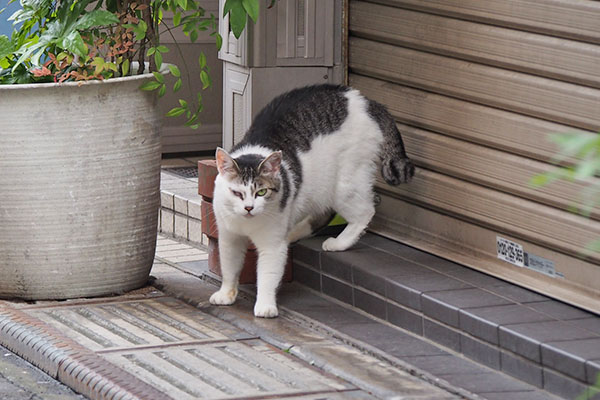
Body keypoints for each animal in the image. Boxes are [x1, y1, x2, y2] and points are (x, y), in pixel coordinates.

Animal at [207, 84, 412, 318]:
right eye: (237, 193)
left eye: (261, 192)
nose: (249, 208)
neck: (247, 224)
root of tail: (366, 100)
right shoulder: (229, 237)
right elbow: (229, 266)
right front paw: (226, 293)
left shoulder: (272, 244)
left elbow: (267, 274)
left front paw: (265, 305)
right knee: (321, 214)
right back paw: (294, 233)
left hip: (342, 185)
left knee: (365, 211)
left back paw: (339, 242)